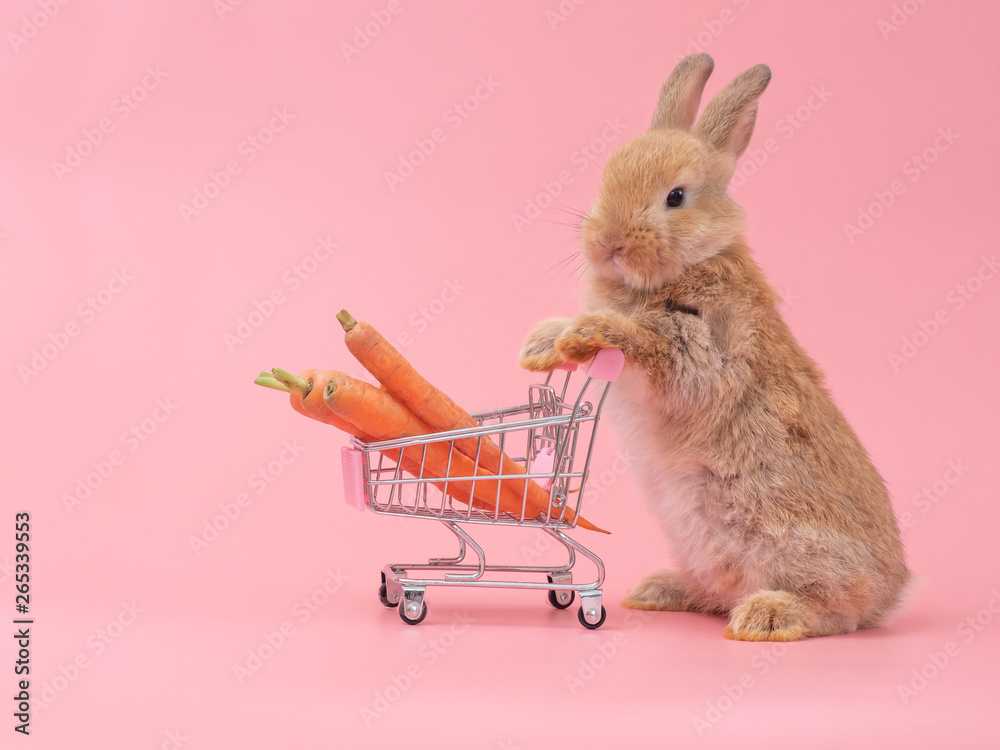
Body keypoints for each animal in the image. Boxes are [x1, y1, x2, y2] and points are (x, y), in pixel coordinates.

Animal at [519, 54, 910, 641]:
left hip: (792, 540)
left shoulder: (705, 347)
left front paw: (589, 334)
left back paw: (767, 616)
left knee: (835, 612)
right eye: (605, 179)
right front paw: (542, 345)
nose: (607, 243)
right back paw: (659, 590)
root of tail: (891, 593)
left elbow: (653, 346)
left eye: (675, 197)